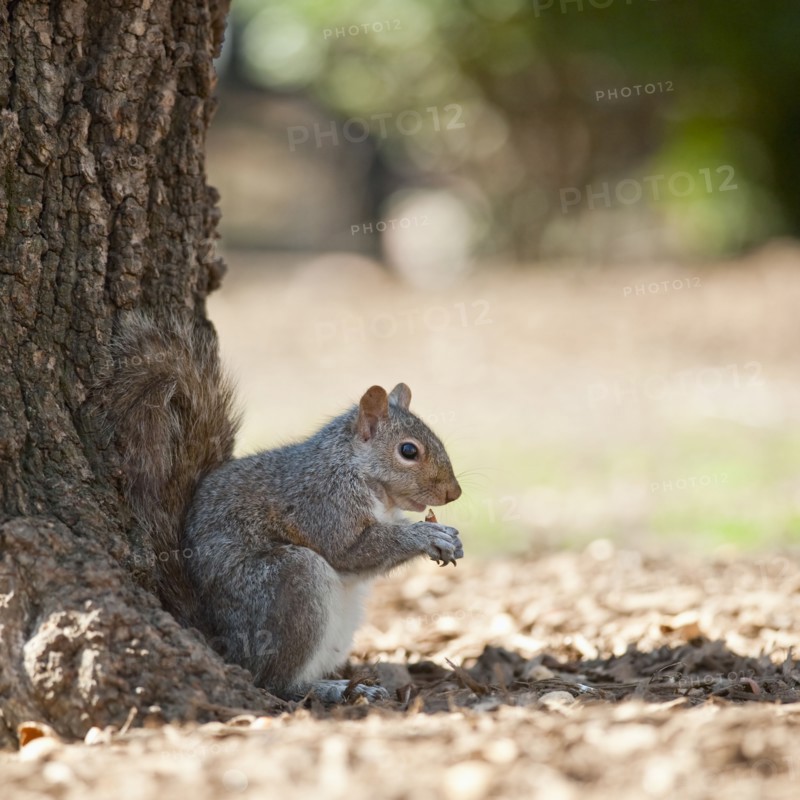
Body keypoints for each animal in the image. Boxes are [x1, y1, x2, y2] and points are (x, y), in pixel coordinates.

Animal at [102, 312, 463, 703]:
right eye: (408, 451)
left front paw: (450, 537)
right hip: (292, 584)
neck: (359, 473)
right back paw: (330, 689)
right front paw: (426, 535)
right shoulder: (321, 502)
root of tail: (222, 642)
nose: (454, 493)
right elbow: (350, 551)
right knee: (275, 682)